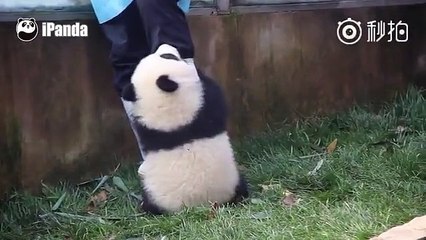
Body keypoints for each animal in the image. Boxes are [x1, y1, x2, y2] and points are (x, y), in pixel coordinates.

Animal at [121, 43, 248, 216]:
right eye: (169, 57)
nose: (166, 45)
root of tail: (198, 205)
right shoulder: (204, 109)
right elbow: (215, 95)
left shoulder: (147, 129)